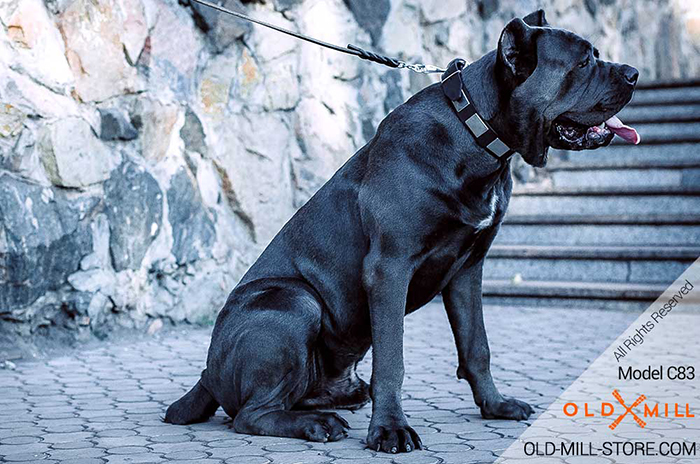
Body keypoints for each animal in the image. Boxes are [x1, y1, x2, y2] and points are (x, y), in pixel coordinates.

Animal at [165, 10, 640, 454]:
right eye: (583, 61)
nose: (633, 72)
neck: (475, 134)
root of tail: (207, 374)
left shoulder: (468, 270)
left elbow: (477, 346)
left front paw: (495, 405)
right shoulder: (389, 268)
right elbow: (392, 359)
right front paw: (390, 429)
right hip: (295, 301)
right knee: (250, 414)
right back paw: (316, 424)